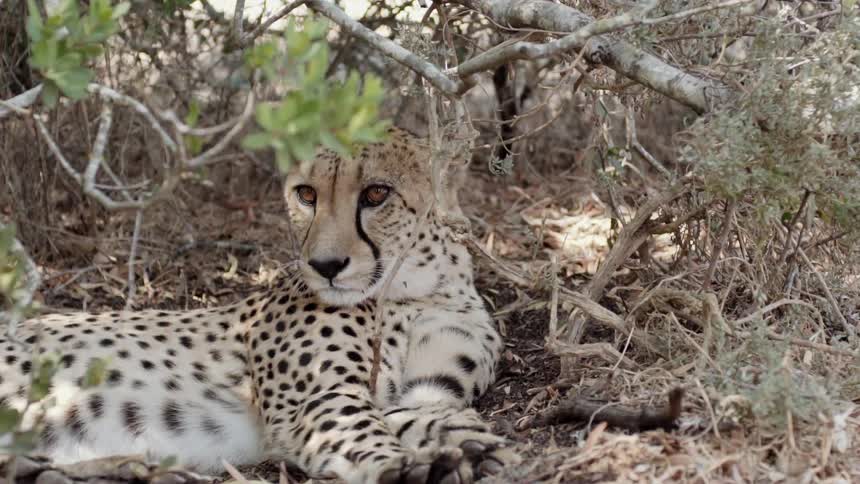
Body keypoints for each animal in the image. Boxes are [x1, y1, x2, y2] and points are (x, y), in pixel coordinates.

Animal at [0, 127, 520, 484]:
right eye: (306, 194)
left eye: (377, 193)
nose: (325, 265)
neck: (416, 287)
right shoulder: (316, 400)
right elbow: (363, 430)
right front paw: (408, 465)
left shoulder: (427, 389)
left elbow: (428, 414)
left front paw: (474, 444)